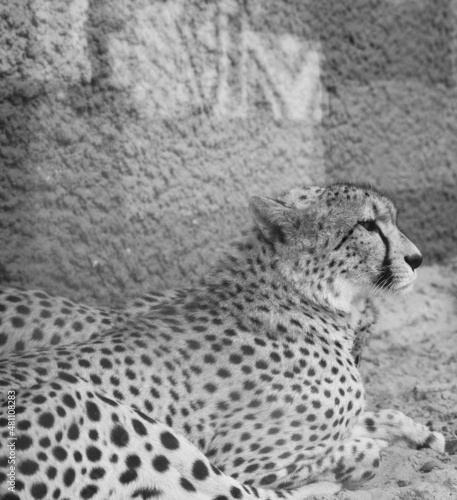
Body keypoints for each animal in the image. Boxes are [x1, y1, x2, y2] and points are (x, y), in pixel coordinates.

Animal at [0, 184, 442, 500]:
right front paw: (365, 450)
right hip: (86, 403)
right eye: (368, 225)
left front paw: (418, 432)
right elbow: (358, 454)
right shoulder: (246, 459)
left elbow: (371, 414)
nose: (418, 259)